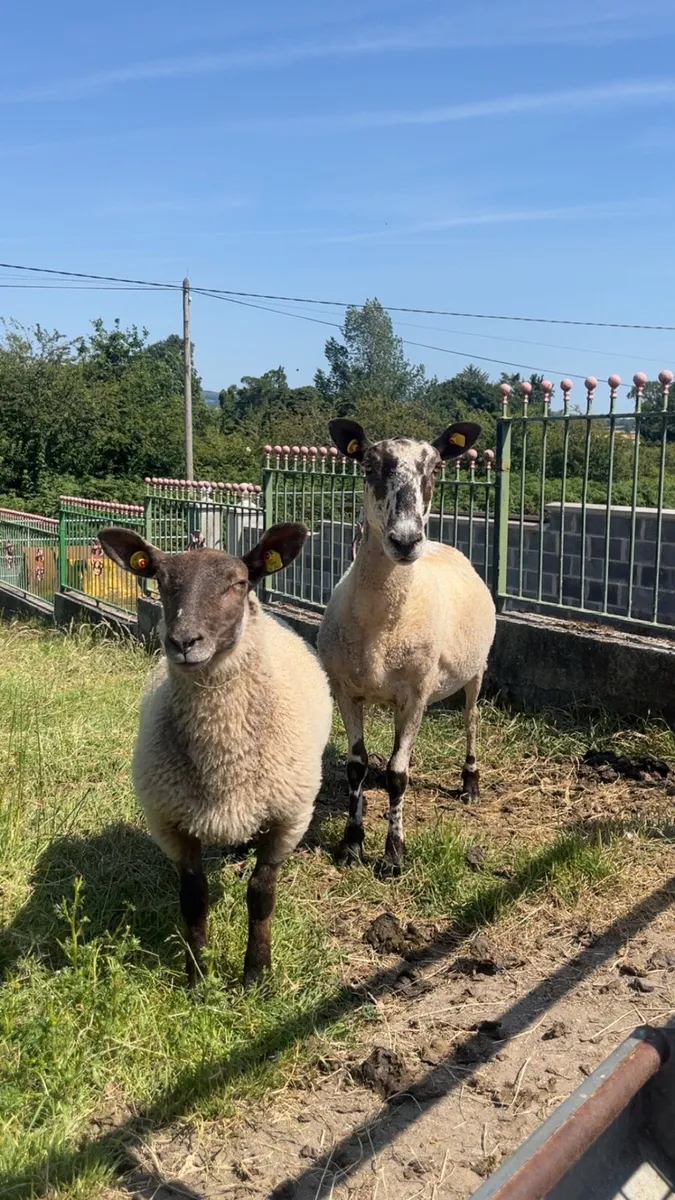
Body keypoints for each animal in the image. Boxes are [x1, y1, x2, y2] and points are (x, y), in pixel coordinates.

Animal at [98, 521, 333, 987]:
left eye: (238, 583)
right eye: (161, 581)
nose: (184, 642)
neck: (224, 760)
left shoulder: (289, 819)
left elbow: (261, 895)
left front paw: (255, 977)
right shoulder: (171, 823)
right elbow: (194, 899)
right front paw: (198, 980)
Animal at [317, 419, 496, 874]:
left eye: (434, 470)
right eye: (369, 466)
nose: (405, 540)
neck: (383, 628)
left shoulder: (414, 694)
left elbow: (398, 776)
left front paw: (393, 855)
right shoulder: (346, 691)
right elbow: (356, 767)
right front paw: (351, 845)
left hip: (476, 669)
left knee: (471, 719)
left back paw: (470, 782)